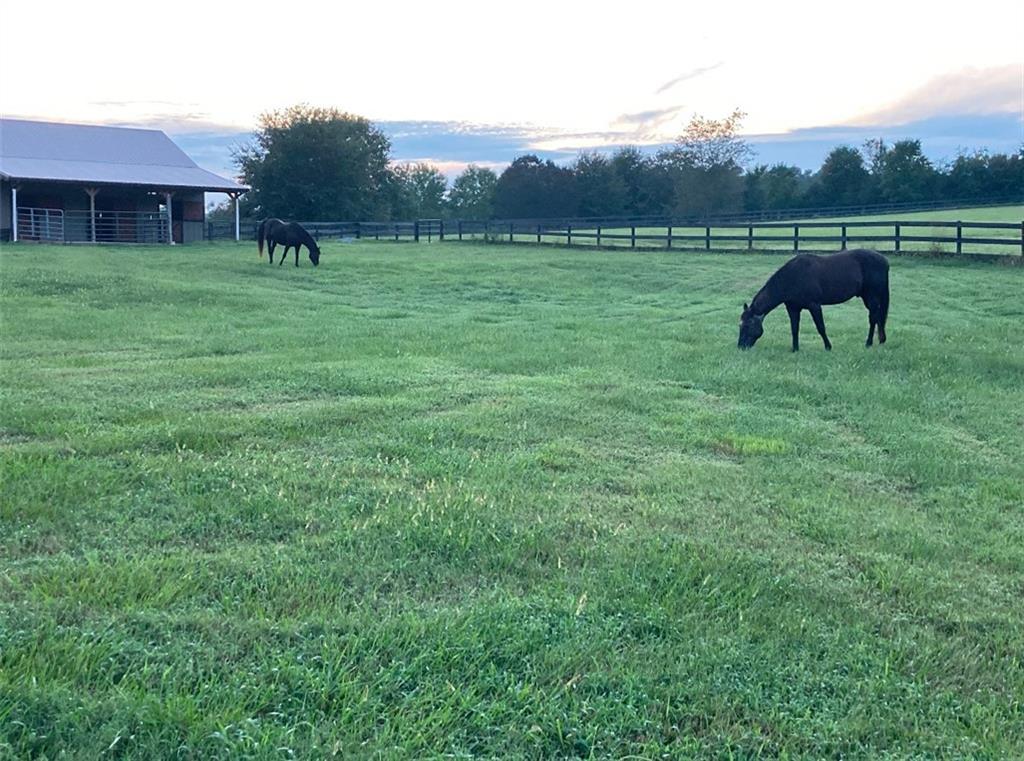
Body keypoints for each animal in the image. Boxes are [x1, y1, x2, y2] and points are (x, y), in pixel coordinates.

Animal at [737, 251, 888, 352]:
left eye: (748, 325)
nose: (740, 346)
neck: (792, 277)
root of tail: (883, 260)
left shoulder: (814, 306)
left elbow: (821, 327)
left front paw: (828, 347)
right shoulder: (793, 308)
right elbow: (794, 328)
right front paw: (795, 349)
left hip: (872, 296)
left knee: (873, 318)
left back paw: (868, 343)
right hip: (867, 297)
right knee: (877, 317)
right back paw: (880, 341)